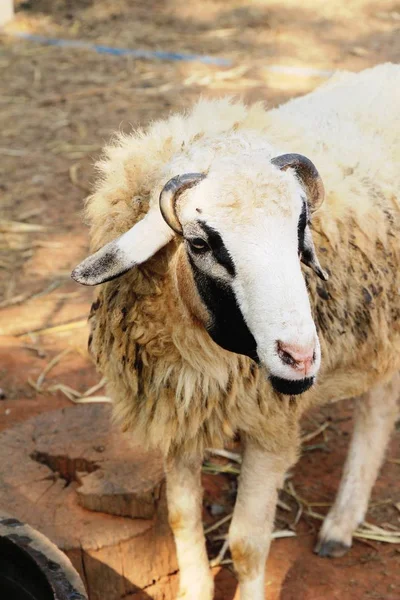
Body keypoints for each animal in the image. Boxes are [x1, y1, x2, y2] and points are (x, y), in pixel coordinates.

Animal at [72, 62, 400, 600]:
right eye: (200, 243)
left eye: (301, 229)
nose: (300, 356)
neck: (202, 357)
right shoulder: (176, 412)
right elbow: (181, 519)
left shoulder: (272, 423)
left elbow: (247, 544)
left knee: (378, 408)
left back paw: (338, 524)